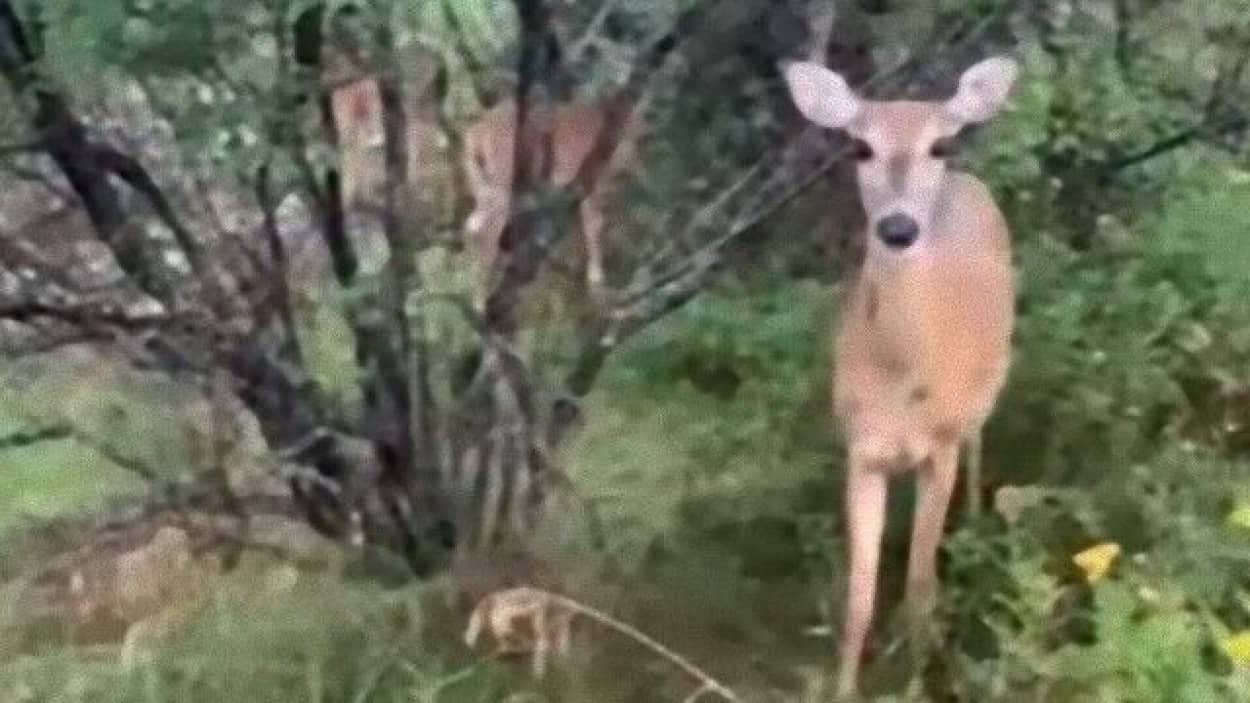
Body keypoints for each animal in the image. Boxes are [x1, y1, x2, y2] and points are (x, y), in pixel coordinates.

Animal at [785, 55, 1020, 695]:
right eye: (859, 147)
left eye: (940, 144)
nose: (897, 228)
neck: (904, 374)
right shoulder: (862, 450)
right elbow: (858, 599)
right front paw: (844, 689)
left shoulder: (938, 447)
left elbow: (919, 586)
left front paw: (920, 678)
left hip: (987, 391)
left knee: (978, 444)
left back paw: (976, 526)